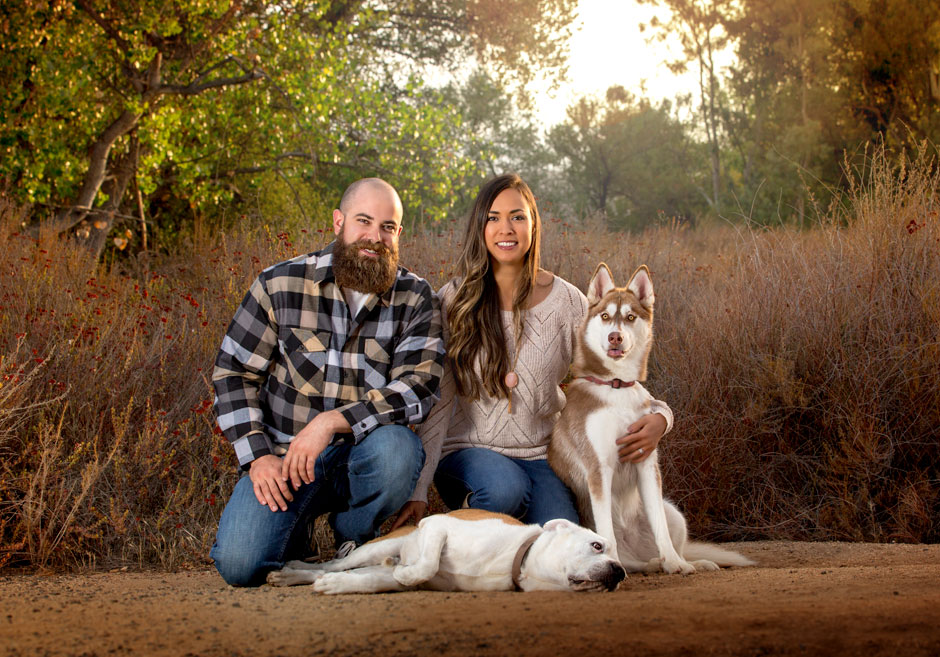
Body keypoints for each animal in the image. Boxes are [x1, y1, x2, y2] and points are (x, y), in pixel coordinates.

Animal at [548, 262, 752, 576]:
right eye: (605, 316)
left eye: (630, 317)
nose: (615, 337)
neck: (617, 387)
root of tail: (633, 549)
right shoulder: (599, 469)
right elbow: (606, 531)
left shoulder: (646, 463)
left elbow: (660, 528)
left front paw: (675, 563)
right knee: (622, 552)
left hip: (676, 514)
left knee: (661, 544)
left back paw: (677, 562)